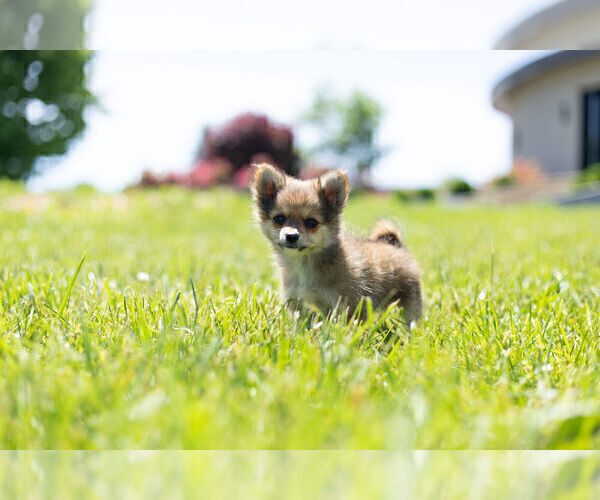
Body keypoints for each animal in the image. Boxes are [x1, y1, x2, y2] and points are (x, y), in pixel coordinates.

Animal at [251, 162, 424, 322]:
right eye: (279, 219)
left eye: (311, 222)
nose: (291, 236)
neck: (303, 263)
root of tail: (397, 246)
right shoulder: (298, 304)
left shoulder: (350, 305)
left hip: (410, 301)